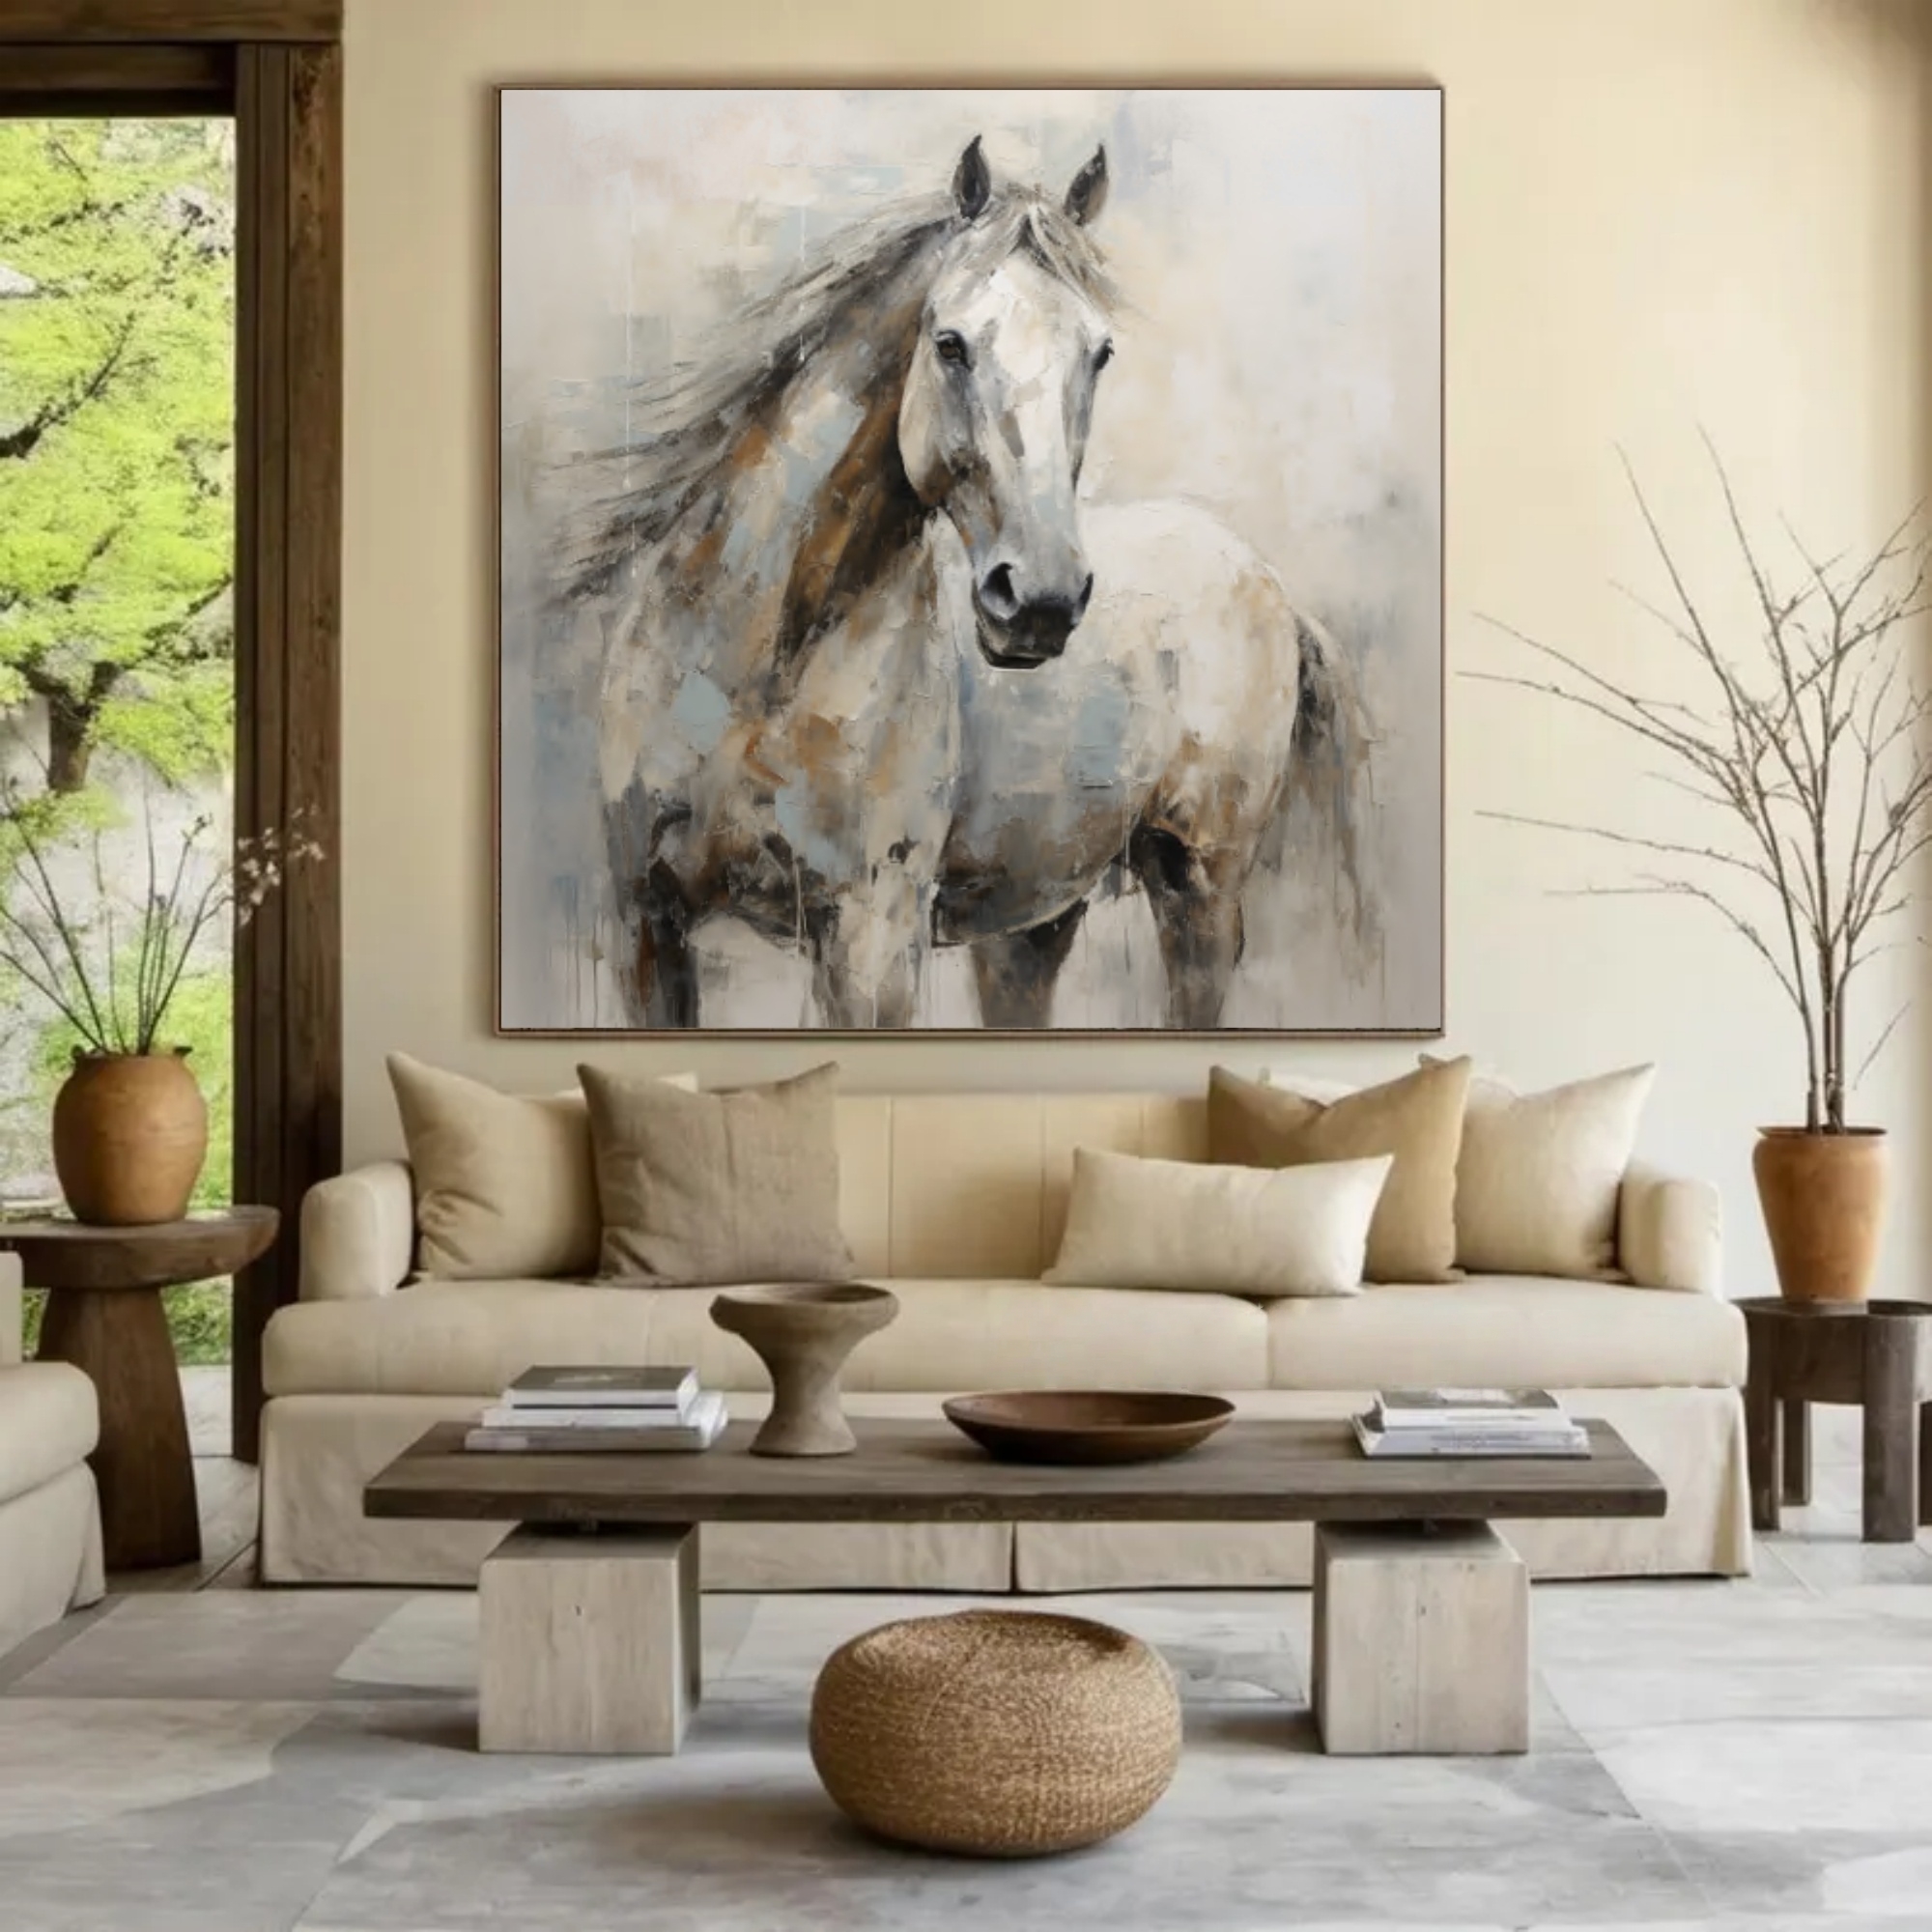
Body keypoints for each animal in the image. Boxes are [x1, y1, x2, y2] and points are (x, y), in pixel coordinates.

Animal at [568, 136, 1375, 1030]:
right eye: (950, 343)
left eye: (1099, 353)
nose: (1040, 601)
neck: (754, 661)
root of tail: (1267, 582)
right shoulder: (648, 924)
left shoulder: (872, 942)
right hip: (1032, 925)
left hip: (1199, 891)